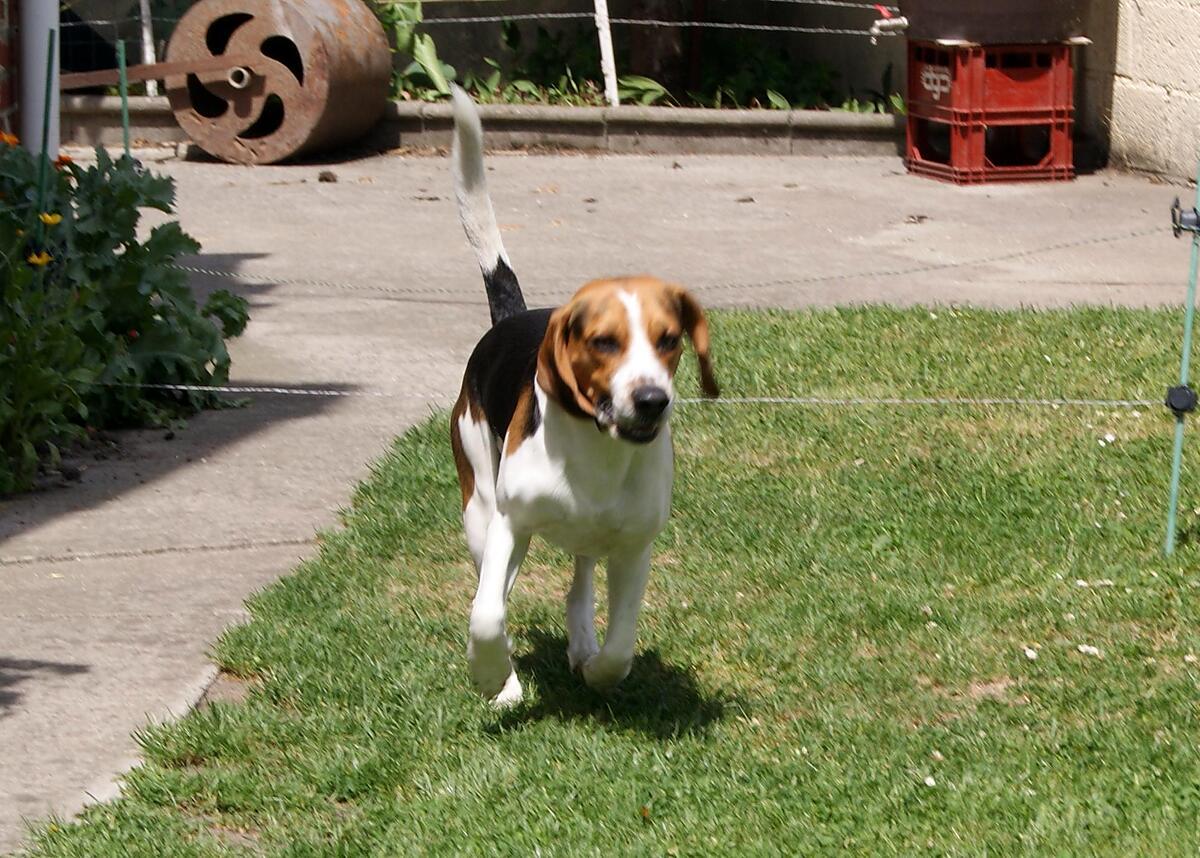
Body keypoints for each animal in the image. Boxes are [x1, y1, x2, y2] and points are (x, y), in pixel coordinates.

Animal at [448, 87, 710, 710]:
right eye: (604, 342)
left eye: (669, 340)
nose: (651, 400)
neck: (599, 451)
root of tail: (512, 318)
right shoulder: (509, 524)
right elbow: (487, 615)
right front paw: (496, 677)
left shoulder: (635, 547)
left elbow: (621, 647)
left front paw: (598, 669)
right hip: (479, 505)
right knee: (494, 590)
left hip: (590, 538)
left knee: (580, 583)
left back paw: (581, 642)